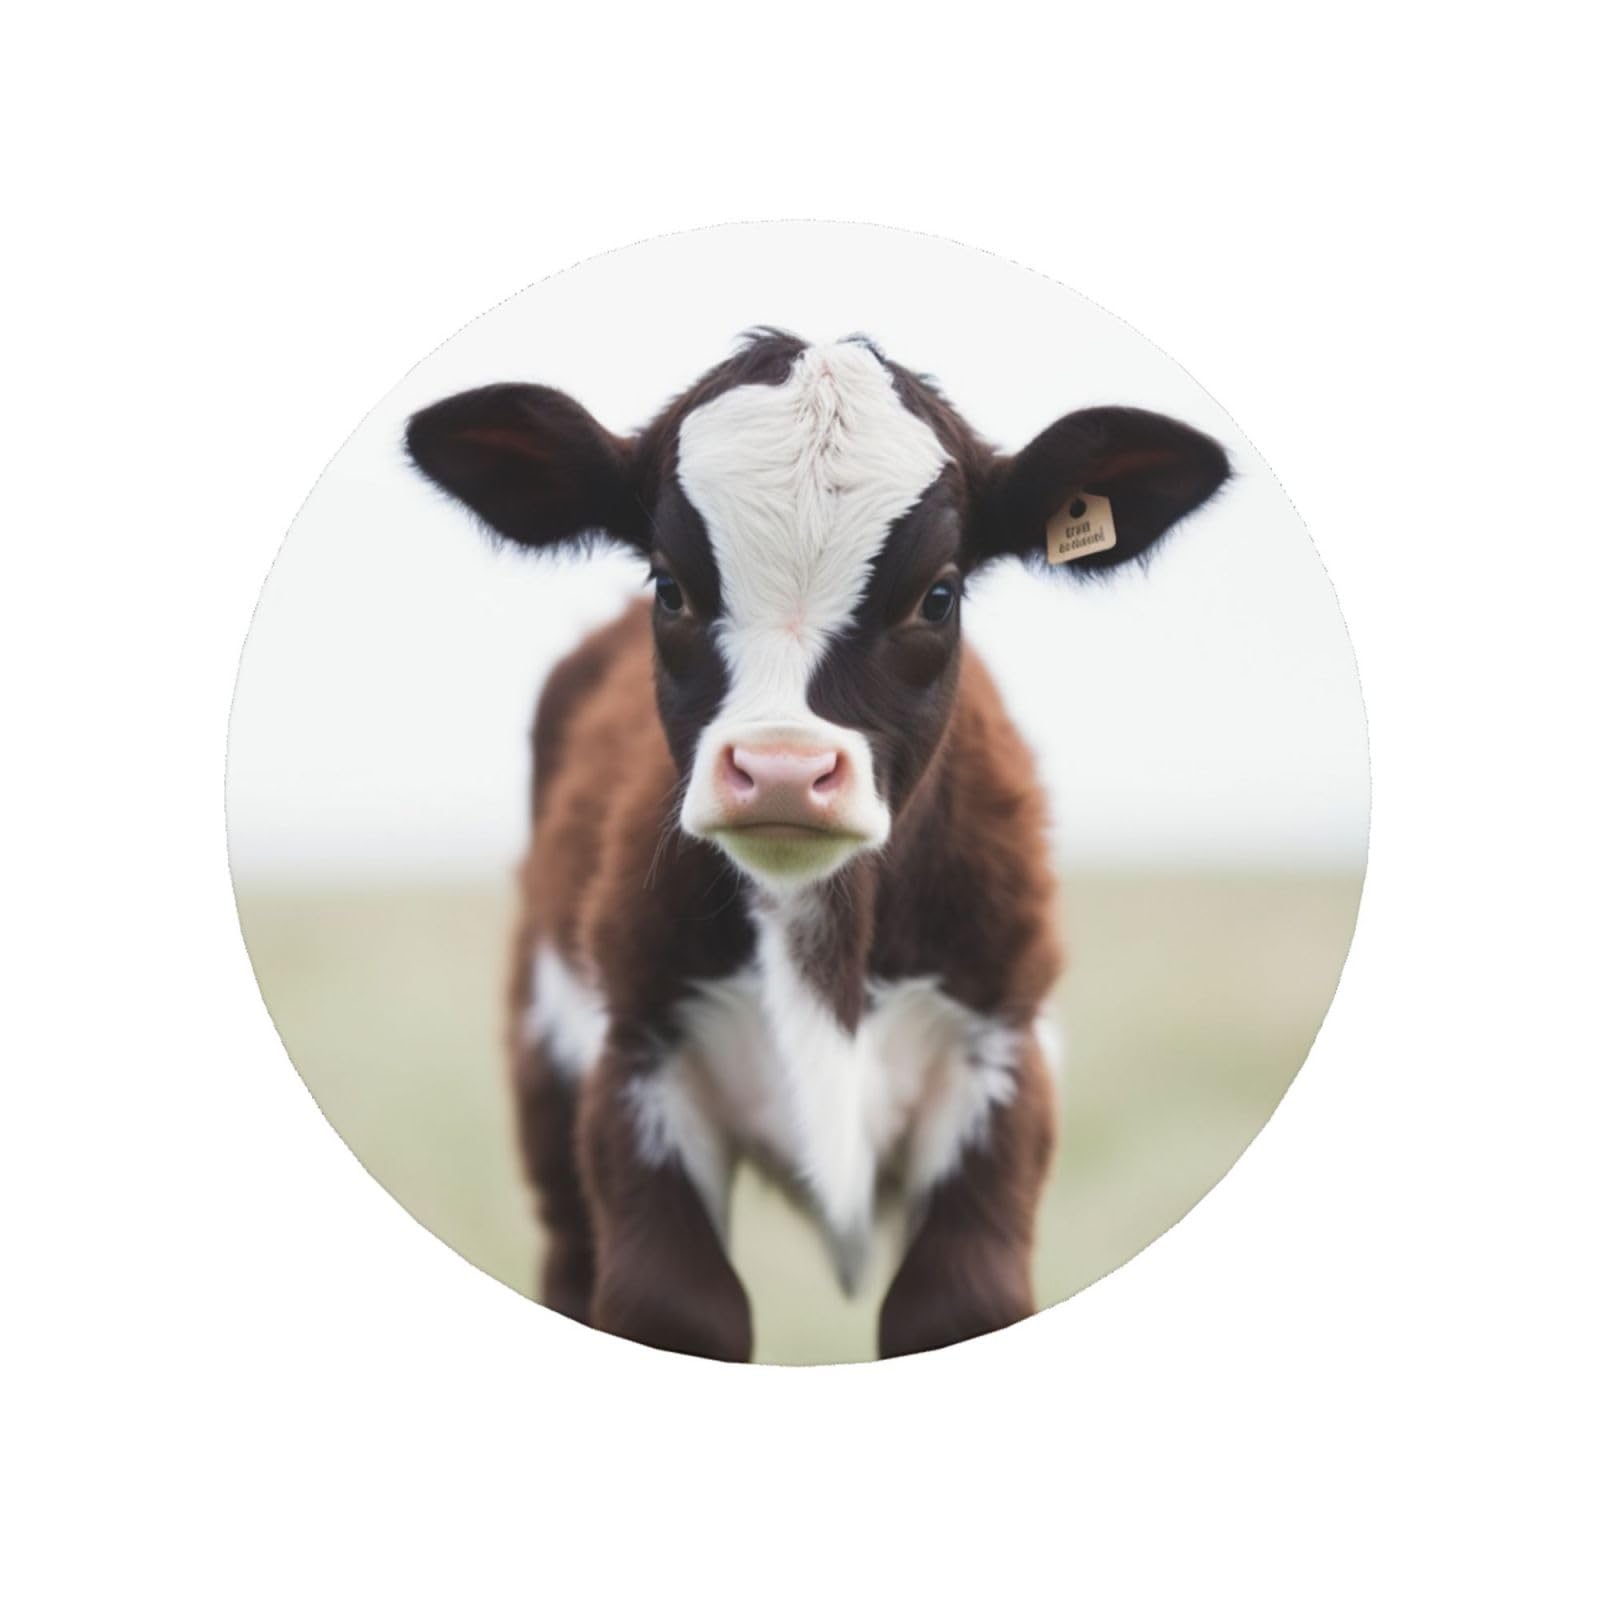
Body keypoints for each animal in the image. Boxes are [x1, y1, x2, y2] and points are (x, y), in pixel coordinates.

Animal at [405, 329, 1229, 1361]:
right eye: (670, 586)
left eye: (939, 596)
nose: (783, 769)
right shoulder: (635, 1067)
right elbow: (680, 1308)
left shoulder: (1002, 1062)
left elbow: (952, 1304)